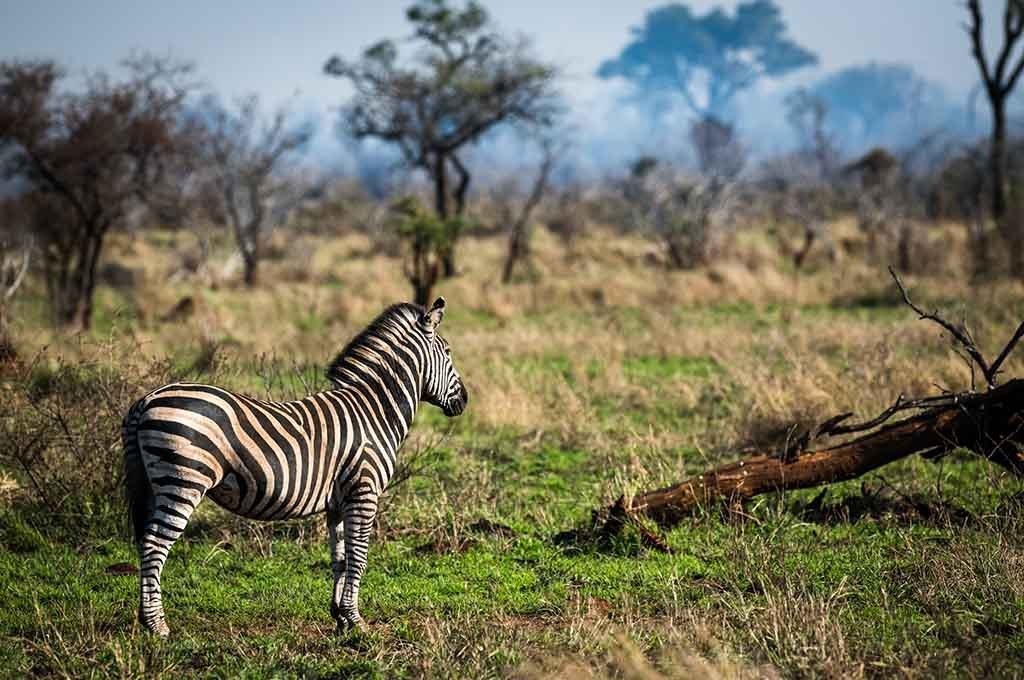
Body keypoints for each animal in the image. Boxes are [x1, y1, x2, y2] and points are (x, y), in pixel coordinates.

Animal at [122, 297, 468, 636]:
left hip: (152, 482)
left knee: (144, 541)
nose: (464, 400)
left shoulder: (338, 501)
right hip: (183, 481)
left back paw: (145, 618)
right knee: (154, 544)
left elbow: (340, 558)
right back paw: (157, 625)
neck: (374, 410)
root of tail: (146, 400)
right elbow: (358, 557)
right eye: (449, 352)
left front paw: (340, 618)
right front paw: (358, 622)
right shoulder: (364, 491)